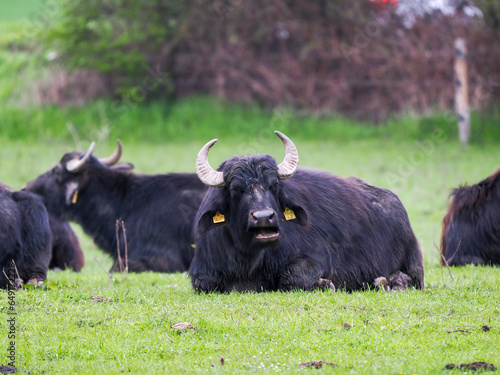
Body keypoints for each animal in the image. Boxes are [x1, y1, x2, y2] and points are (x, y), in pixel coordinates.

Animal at [189, 132, 424, 294]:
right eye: (236, 189)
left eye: (273, 185)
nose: (264, 217)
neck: (251, 257)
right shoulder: (202, 270)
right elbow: (204, 283)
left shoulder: (317, 258)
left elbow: (292, 277)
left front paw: (326, 284)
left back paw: (390, 282)